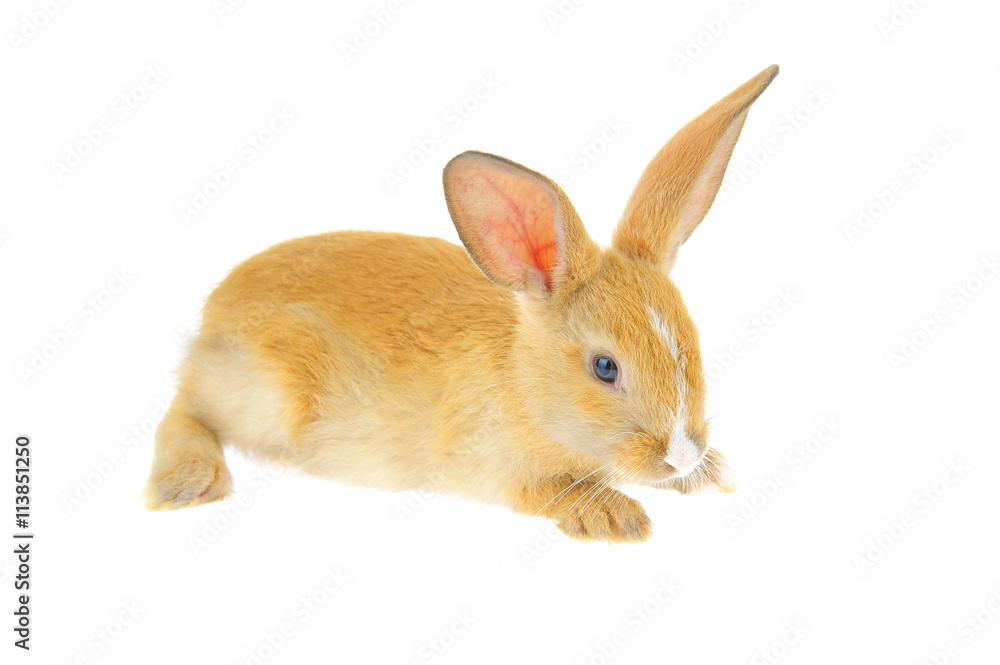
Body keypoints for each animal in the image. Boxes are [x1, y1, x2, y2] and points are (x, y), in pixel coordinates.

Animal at [143, 64, 779, 543]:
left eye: (694, 343)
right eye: (605, 368)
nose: (682, 456)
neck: (523, 383)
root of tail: (213, 317)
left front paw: (713, 476)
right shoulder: (490, 467)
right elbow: (545, 489)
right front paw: (614, 517)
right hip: (265, 396)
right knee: (184, 407)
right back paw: (187, 485)